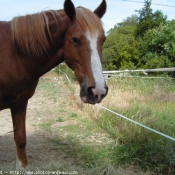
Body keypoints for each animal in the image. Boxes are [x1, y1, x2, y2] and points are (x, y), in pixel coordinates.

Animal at [0, 0, 107, 170]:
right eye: (75, 39)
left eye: (103, 39)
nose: (98, 91)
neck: (13, 54)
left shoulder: (20, 103)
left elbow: (20, 140)